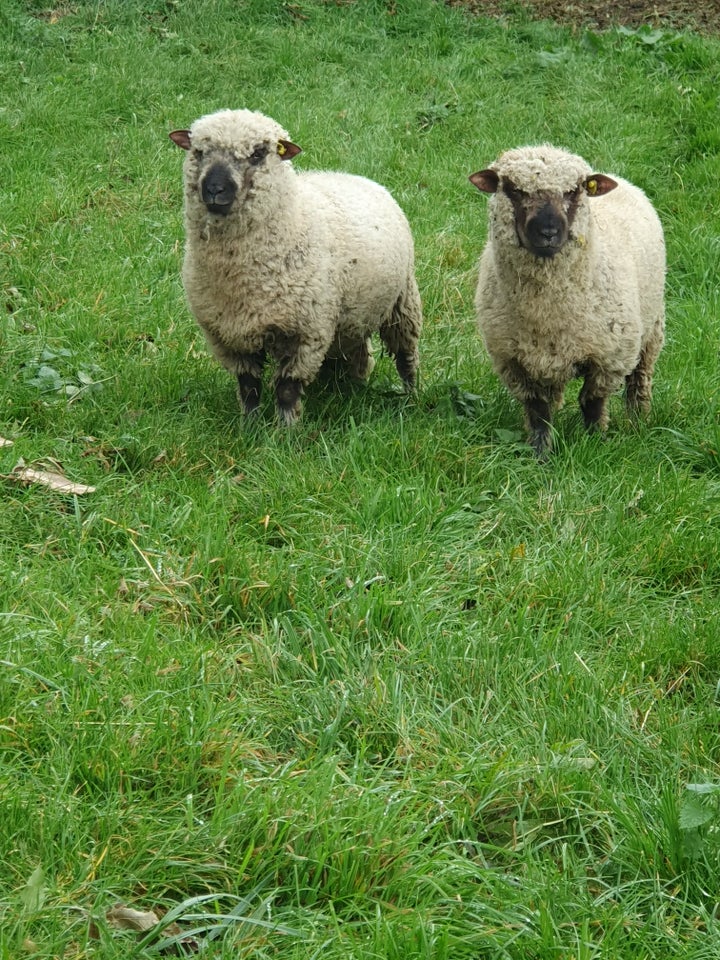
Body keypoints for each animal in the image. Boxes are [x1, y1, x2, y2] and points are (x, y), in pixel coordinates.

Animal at [169, 109, 422, 424]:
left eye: (258, 153)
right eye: (199, 151)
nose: (214, 189)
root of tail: (356, 177)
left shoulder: (307, 332)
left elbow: (287, 388)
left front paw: (286, 429)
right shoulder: (228, 335)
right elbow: (248, 385)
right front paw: (250, 426)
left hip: (403, 302)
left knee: (406, 356)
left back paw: (410, 397)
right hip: (350, 318)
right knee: (358, 352)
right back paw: (351, 388)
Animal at [470, 143, 668, 458]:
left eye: (574, 190)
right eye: (514, 189)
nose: (548, 233)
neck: (546, 311)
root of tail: (619, 179)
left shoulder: (609, 357)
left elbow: (592, 401)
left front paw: (594, 442)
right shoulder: (513, 361)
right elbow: (538, 410)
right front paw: (540, 453)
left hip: (652, 329)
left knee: (639, 378)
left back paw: (639, 420)